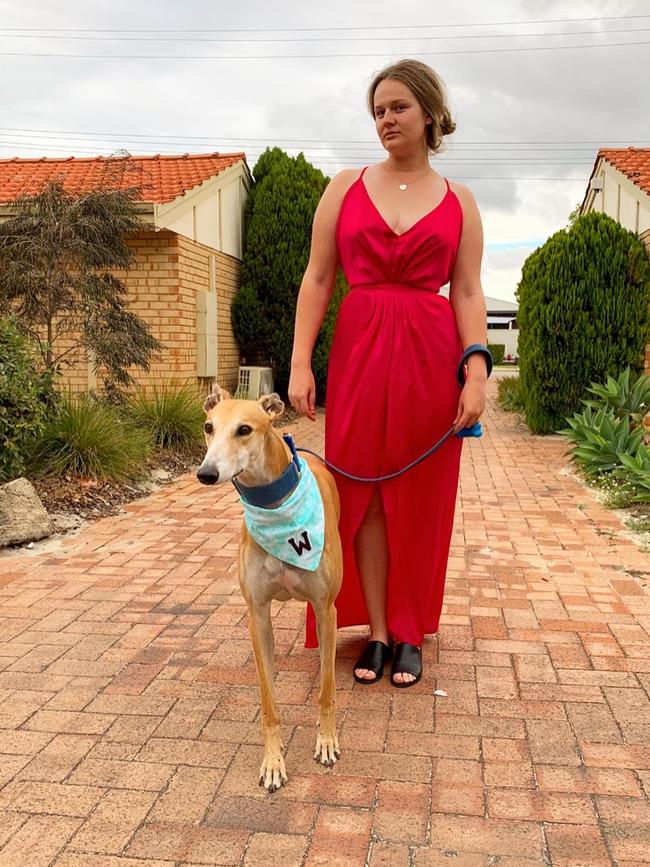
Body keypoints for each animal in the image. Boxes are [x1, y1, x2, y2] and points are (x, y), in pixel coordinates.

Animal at [195, 386, 342, 792]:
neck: (277, 508)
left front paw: (326, 741)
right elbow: (268, 701)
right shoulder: (257, 615)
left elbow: (327, 688)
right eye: (208, 427)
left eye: (245, 429)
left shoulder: (326, 608)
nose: (206, 473)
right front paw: (273, 763)